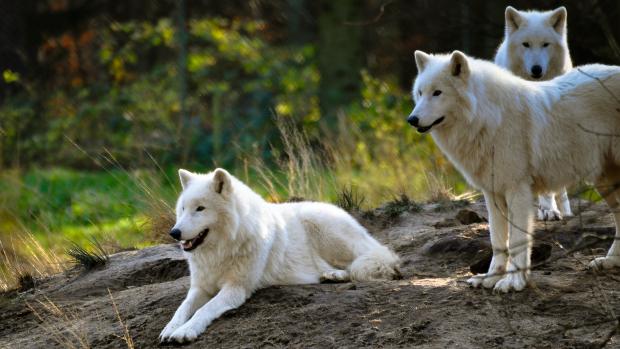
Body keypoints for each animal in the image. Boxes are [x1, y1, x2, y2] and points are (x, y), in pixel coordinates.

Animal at [160, 167, 400, 342]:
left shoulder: (236, 288)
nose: (174, 233)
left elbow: (204, 310)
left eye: (200, 208)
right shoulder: (200, 287)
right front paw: (170, 328)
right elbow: (182, 308)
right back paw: (330, 276)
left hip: (325, 230)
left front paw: (185, 331)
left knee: (368, 263)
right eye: (183, 209)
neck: (221, 250)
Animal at [406, 49, 620, 290]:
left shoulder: (517, 190)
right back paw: (610, 261)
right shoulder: (493, 194)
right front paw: (491, 277)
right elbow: (498, 241)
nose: (411, 119)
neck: (489, 118)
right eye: (420, 93)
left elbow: (517, 240)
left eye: (437, 93)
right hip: (604, 182)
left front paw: (513, 282)